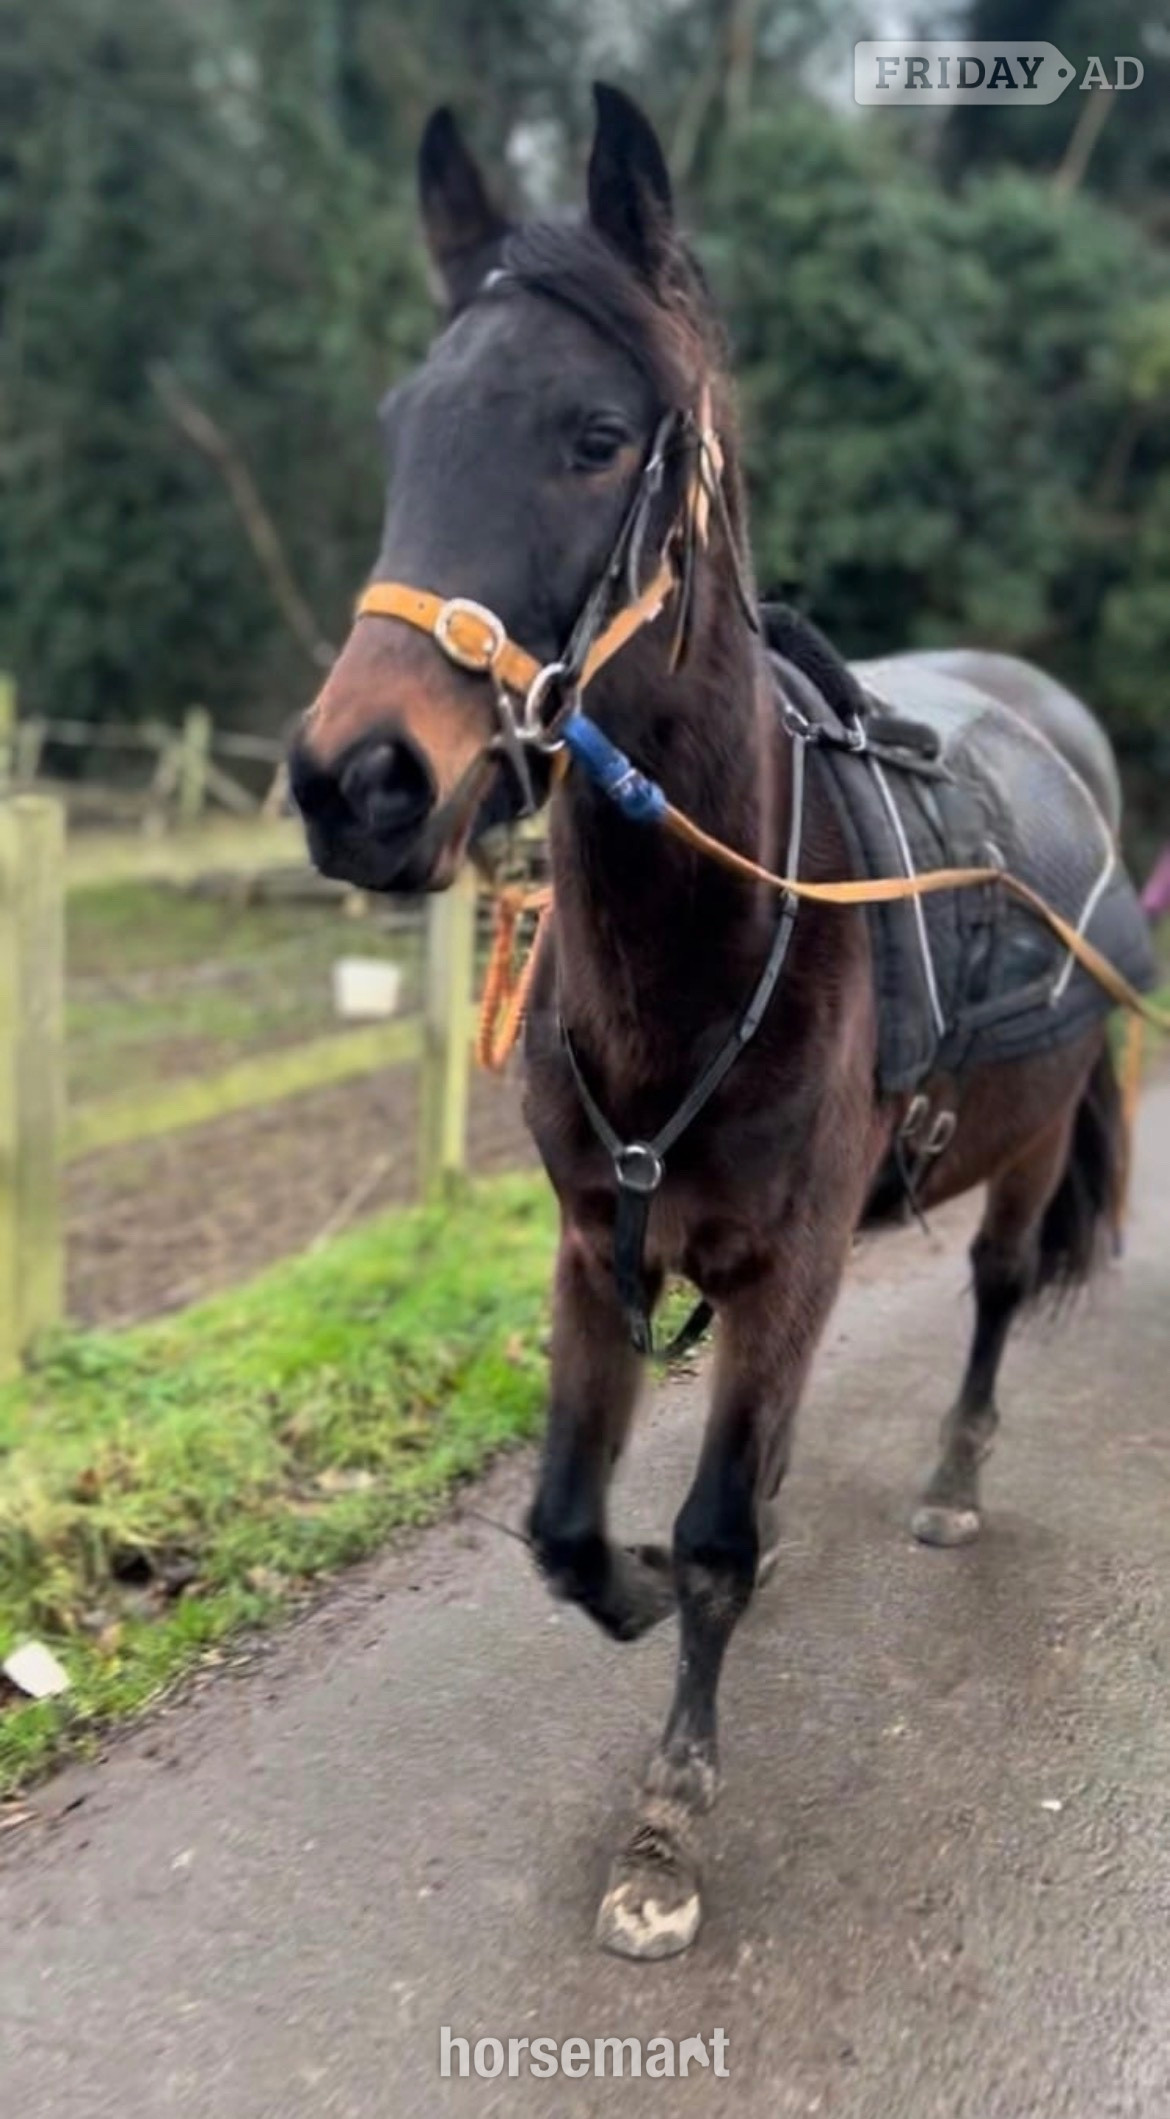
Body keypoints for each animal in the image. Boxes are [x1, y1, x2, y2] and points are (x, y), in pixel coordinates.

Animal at [289, 85, 1153, 1960]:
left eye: (595, 431)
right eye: (402, 426)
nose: (353, 781)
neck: (713, 938)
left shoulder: (795, 1260)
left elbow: (717, 1531)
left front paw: (668, 1816)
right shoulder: (585, 1248)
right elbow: (563, 1524)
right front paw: (621, 1585)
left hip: (1028, 1144)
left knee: (994, 1290)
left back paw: (954, 1468)